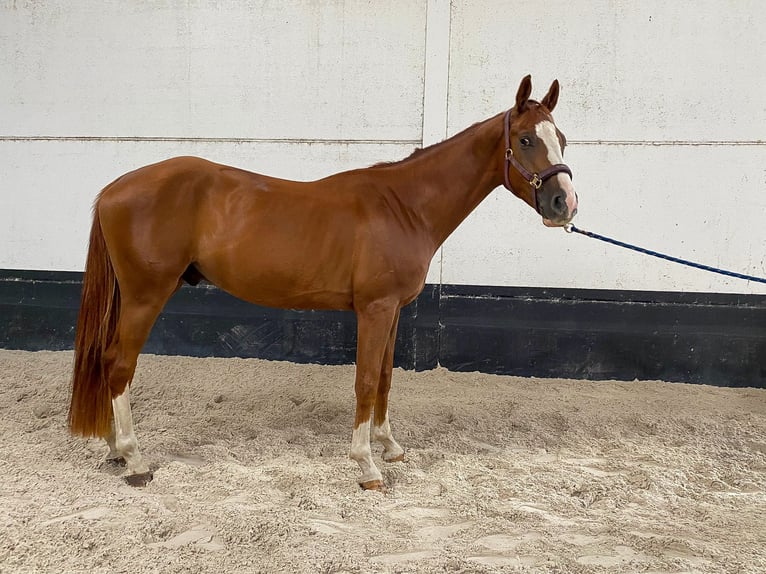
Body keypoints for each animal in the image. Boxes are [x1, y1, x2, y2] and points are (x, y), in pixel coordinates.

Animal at [69, 75, 580, 490]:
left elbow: (386, 378)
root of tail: (114, 189)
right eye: (526, 138)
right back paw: (135, 461)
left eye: (562, 139)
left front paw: (389, 446)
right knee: (118, 365)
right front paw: (367, 465)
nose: (564, 204)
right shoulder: (374, 309)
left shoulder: (392, 310)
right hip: (145, 296)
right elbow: (365, 382)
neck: (404, 205)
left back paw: (115, 451)